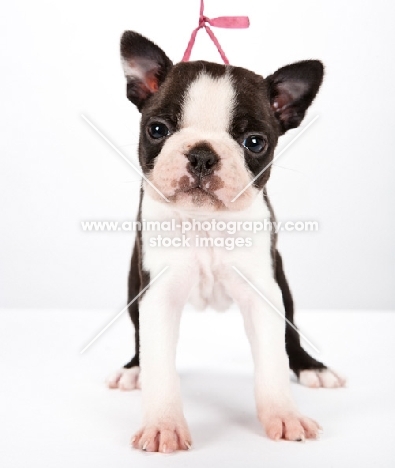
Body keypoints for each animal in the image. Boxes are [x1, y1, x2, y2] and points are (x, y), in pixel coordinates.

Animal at [108, 30, 346, 454]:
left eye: (254, 142)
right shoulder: (158, 292)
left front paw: (284, 414)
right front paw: (163, 425)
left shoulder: (263, 292)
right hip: (134, 286)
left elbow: (272, 361)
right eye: (157, 130)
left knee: (291, 333)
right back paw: (133, 369)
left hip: (283, 284)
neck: (206, 223)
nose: (202, 155)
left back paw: (312, 368)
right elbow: (160, 366)